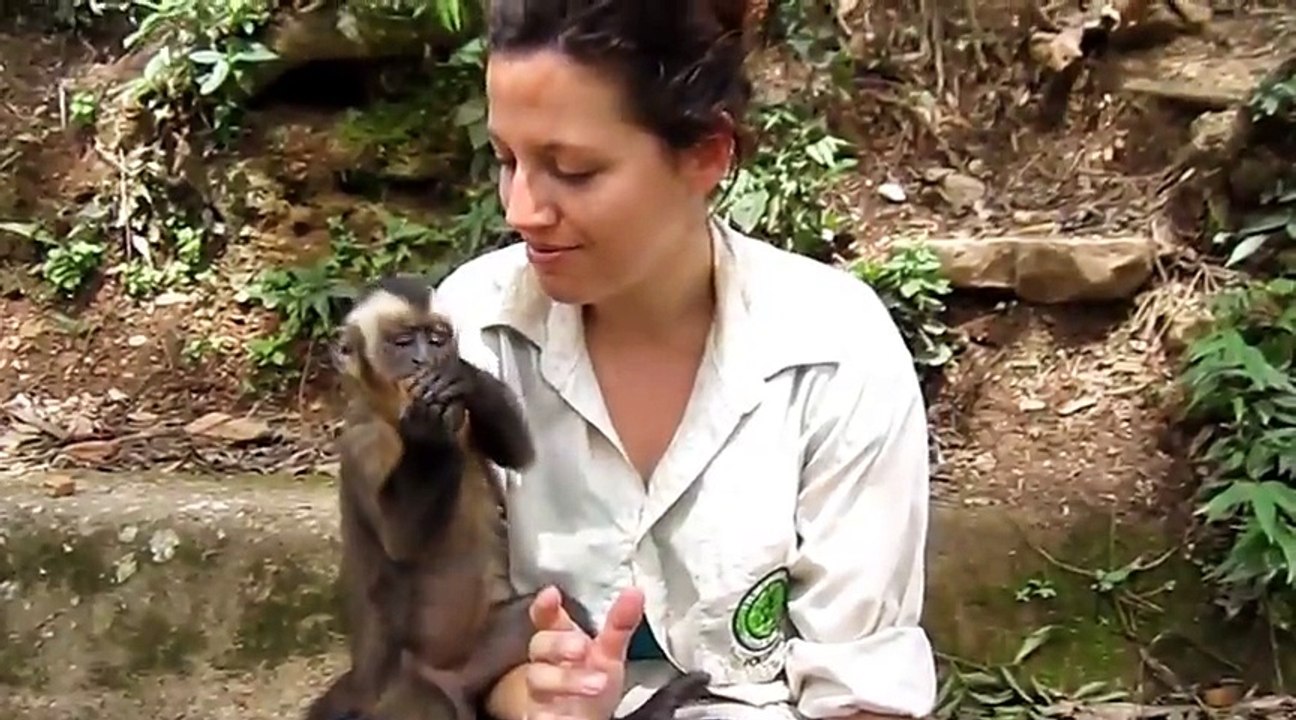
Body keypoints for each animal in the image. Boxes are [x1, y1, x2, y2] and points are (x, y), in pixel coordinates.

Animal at [306, 274, 713, 720]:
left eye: (436, 339)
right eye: (402, 343)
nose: (424, 361)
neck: (390, 415)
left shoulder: (464, 425)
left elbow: (517, 452)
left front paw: (465, 378)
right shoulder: (364, 443)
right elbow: (402, 539)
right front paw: (428, 430)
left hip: (478, 657)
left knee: (555, 612)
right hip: (397, 693)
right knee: (428, 703)